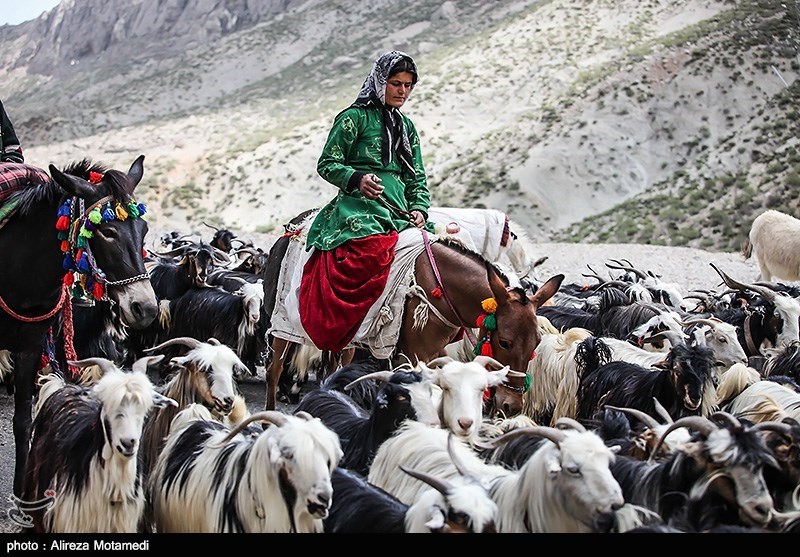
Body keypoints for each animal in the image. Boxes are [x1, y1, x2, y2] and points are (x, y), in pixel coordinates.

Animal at [0, 153, 158, 496]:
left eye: (144, 228)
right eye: (107, 231)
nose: (145, 308)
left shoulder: (29, 348)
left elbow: (22, 421)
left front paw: (20, 492)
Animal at [262, 224, 564, 410]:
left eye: (536, 343)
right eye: (504, 342)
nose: (510, 405)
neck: (441, 287)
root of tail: (291, 232)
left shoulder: (436, 352)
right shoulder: (413, 354)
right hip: (282, 325)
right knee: (274, 370)